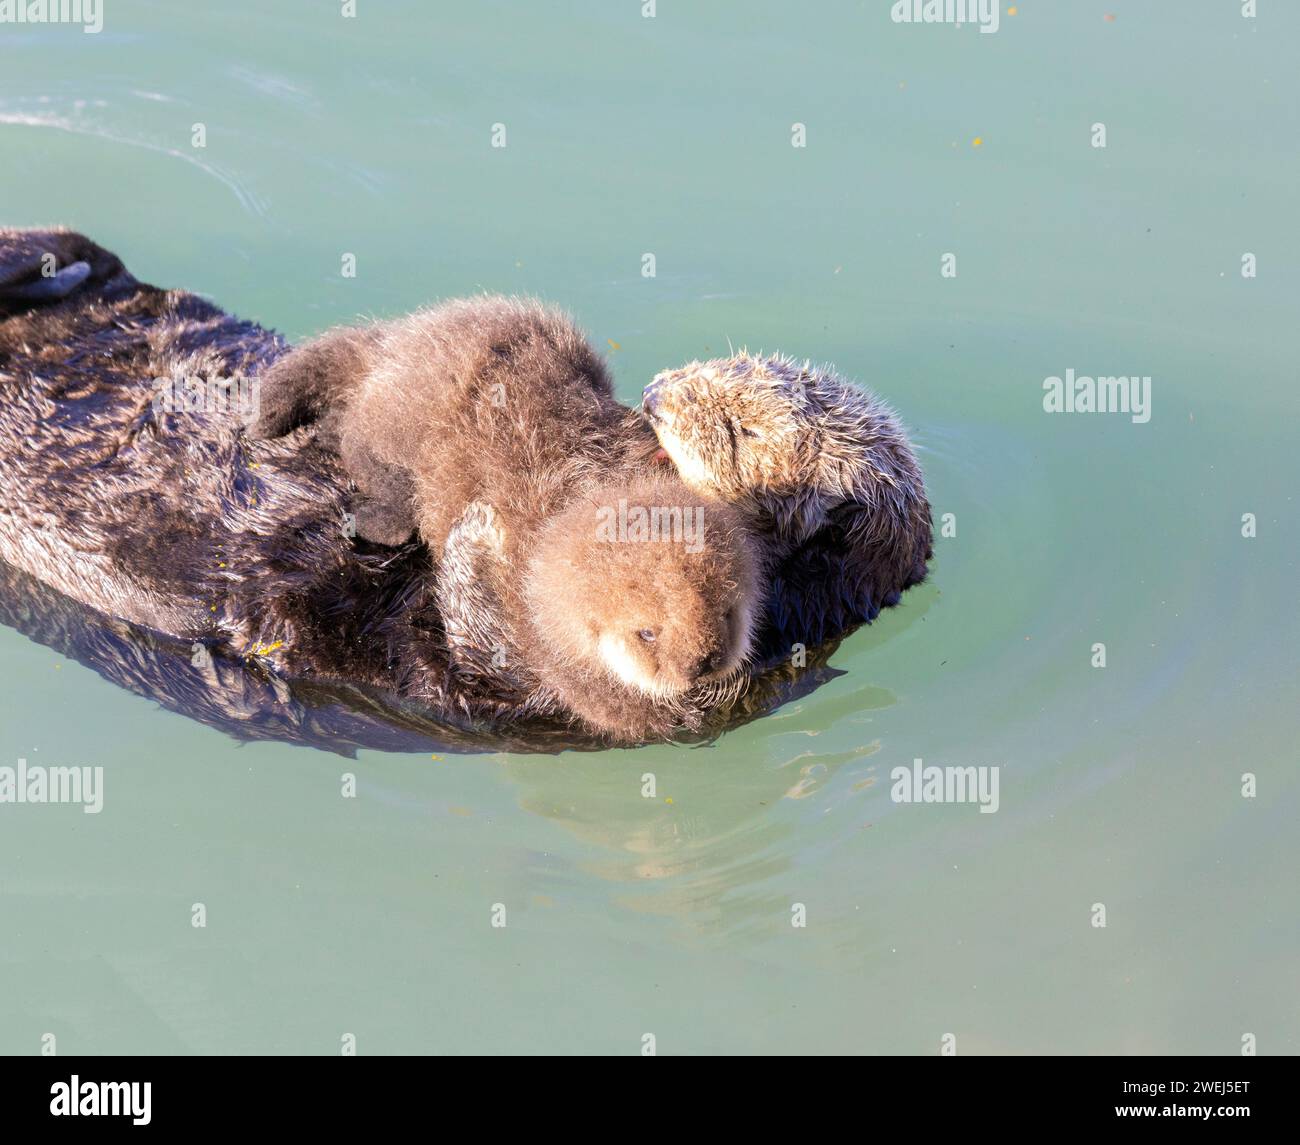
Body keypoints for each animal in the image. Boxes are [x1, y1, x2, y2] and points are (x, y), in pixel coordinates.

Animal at [249, 298, 760, 740]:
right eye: (647, 633)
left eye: (727, 613)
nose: (703, 662)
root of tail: (392, 344)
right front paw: (479, 529)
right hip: (399, 420)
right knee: (366, 448)